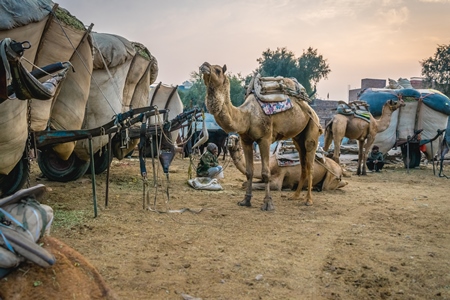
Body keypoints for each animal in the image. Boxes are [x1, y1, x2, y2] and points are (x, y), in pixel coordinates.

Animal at [199, 62, 322, 209]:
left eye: (217, 70)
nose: (204, 65)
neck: (247, 116)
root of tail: (309, 107)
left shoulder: (265, 139)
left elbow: (265, 173)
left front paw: (268, 203)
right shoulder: (246, 140)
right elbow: (249, 172)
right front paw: (246, 200)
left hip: (313, 127)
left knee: (310, 162)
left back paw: (308, 200)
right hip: (298, 137)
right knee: (302, 160)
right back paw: (295, 196)